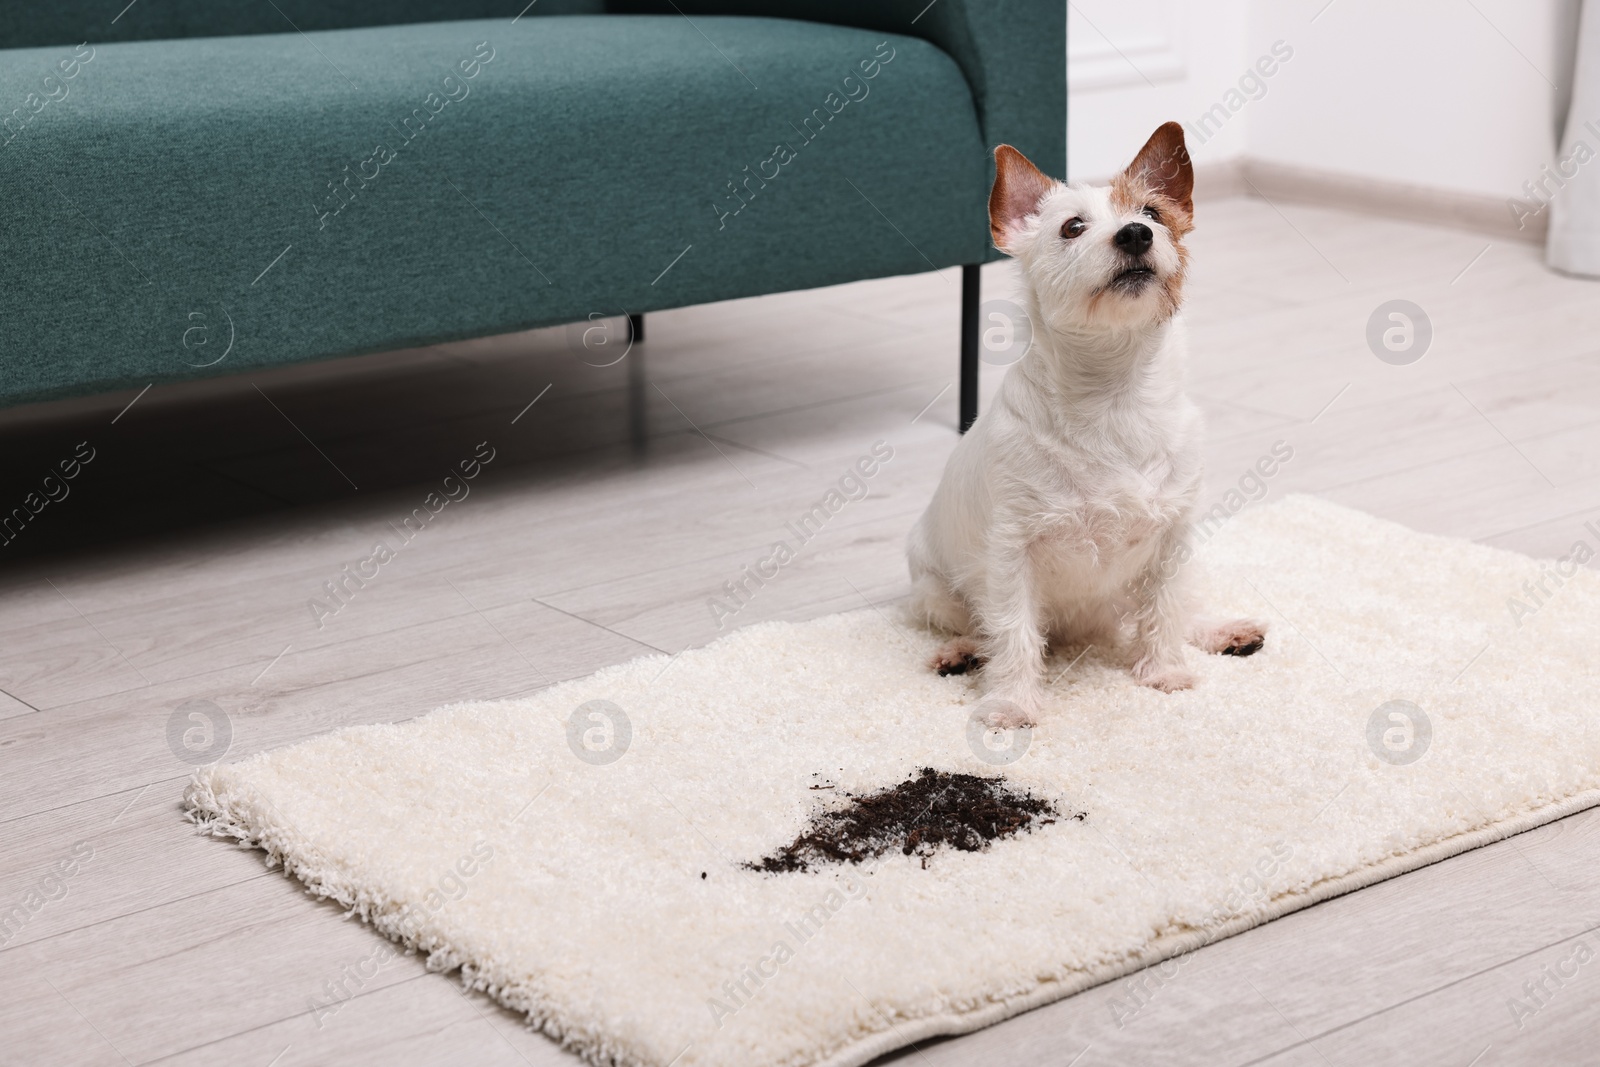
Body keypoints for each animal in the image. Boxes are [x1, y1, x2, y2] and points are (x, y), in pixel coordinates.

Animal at [915, 123, 1260, 726]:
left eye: (1152, 213)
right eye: (1072, 226)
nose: (1136, 234)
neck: (1114, 395)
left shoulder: (1172, 541)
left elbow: (1165, 608)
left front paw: (1164, 671)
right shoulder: (1012, 553)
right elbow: (1014, 631)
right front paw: (1011, 703)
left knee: (1170, 609)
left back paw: (1221, 631)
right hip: (935, 589)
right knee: (981, 627)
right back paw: (960, 653)